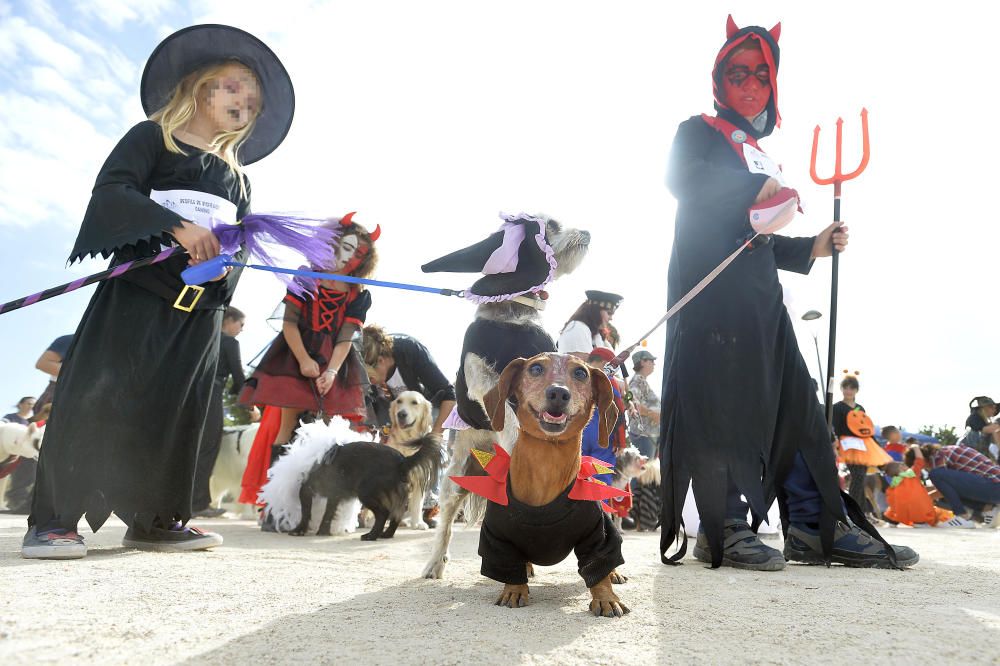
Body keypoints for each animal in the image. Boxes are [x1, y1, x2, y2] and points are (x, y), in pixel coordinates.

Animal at [380, 390, 432, 528]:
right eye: (399, 401)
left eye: (414, 402)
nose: (401, 414)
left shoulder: (421, 479)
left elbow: (417, 505)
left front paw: (418, 523)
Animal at [418, 211, 588, 576]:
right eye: (552, 225)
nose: (587, 232)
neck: (511, 314)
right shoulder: (480, 375)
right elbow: (504, 405)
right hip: (457, 475)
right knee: (447, 520)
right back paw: (435, 562)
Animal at [466, 352, 624, 616]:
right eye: (536, 368)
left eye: (581, 373)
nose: (558, 393)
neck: (546, 467)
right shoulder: (498, 539)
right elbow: (509, 567)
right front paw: (514, 590)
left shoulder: (597, 534)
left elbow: (598, 565)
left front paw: (605, 597)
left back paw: (614, 574)